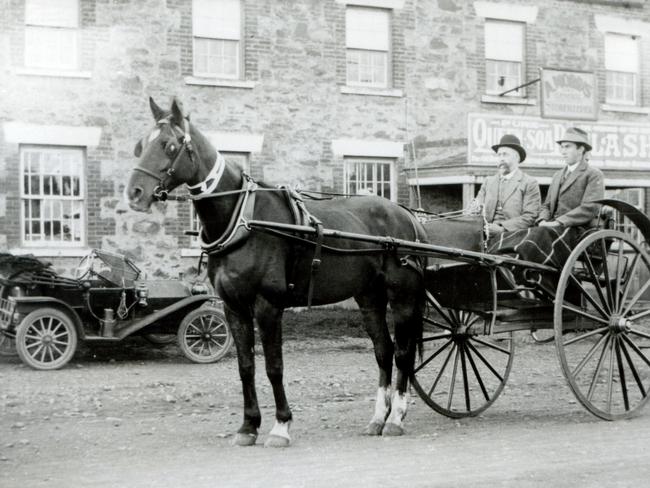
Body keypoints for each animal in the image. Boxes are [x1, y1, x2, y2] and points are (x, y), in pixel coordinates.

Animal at [126, 97, 428, 448]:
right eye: (140, 145)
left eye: (170, 145)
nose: (134, 193)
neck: (245, 220)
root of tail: (407, 216)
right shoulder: (233, 307)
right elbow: (246, 366)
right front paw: (247, 426)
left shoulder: (268, 305)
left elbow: (274, 366)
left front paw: (280, 425)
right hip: (369, 296)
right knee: (384, 351)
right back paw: (378, 417)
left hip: (403, 295)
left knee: (404, 352)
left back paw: (395, 418)